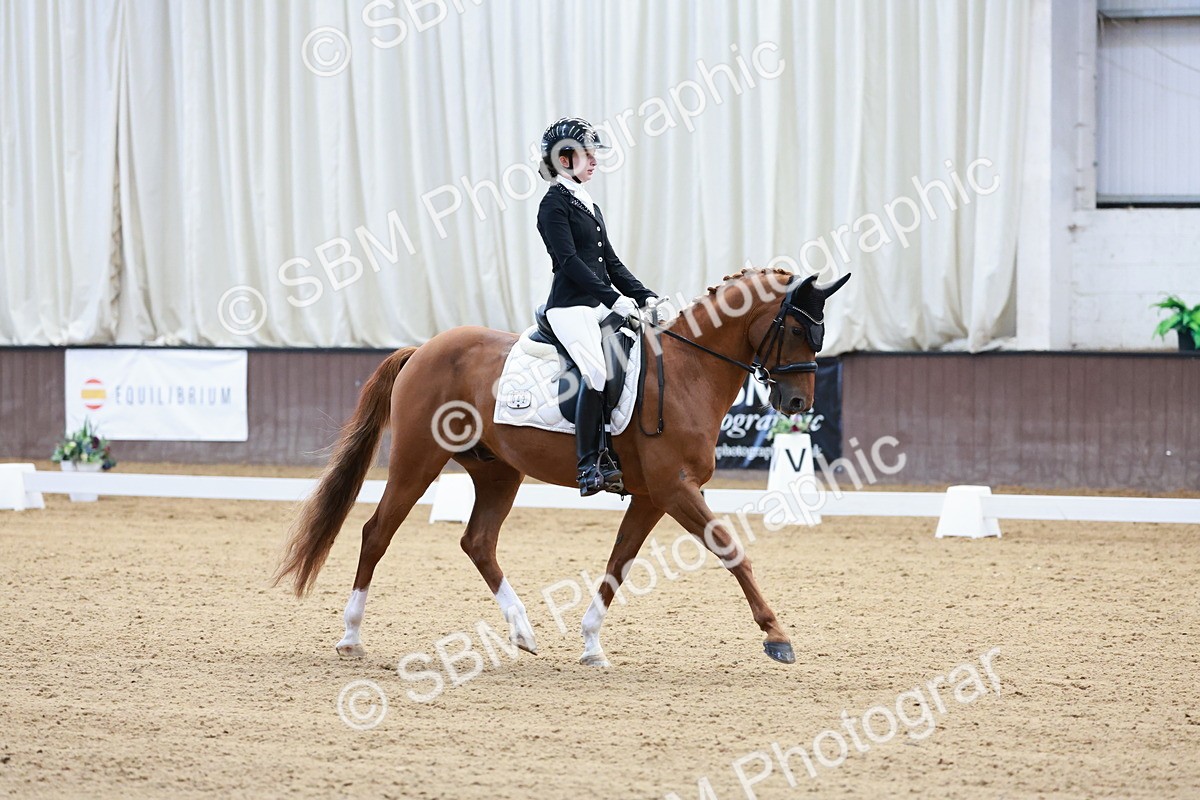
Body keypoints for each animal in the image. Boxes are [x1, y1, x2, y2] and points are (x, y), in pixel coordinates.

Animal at [273, 267, 850, 666]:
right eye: (798, 330)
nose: (798, 405)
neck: (689, 372)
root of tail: (424, 349)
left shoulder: (651, 496)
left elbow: (619, 563)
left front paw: (592, 643)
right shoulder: (675, 488)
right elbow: (732, 551)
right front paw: (777, 636)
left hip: (497, 471)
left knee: (477, 541)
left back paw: (522, 631)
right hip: (418, 460)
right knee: (376, 532)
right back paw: (351, 636)